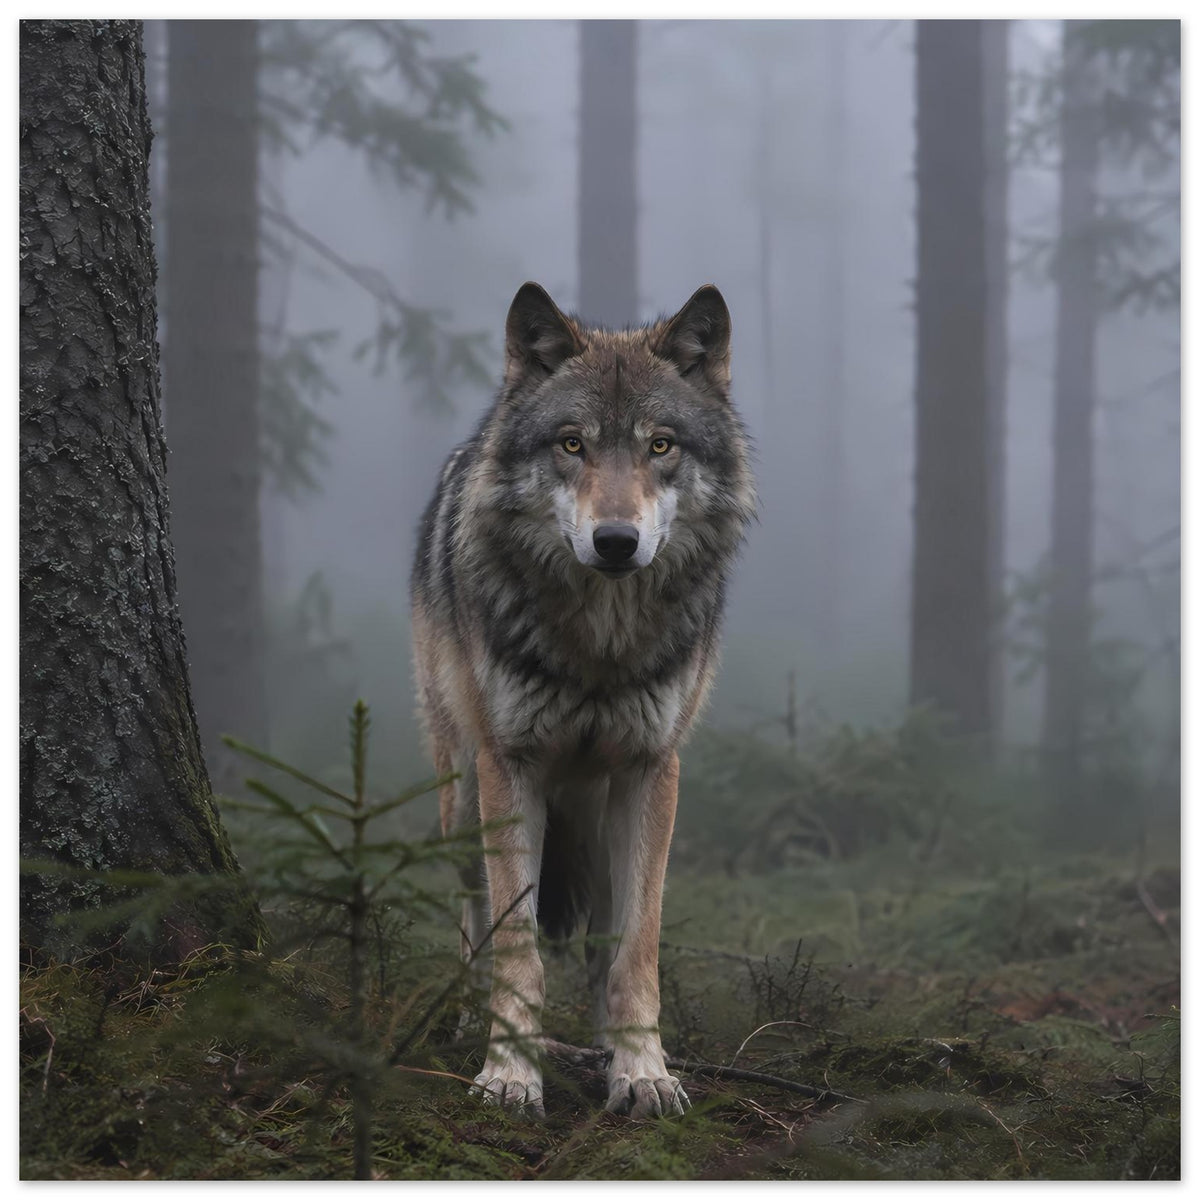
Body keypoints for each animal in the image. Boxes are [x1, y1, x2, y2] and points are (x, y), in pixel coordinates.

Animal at [410, 281, 754, 1119]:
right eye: (572, 445)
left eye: (661, 446)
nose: (616, 542)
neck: (600, 645)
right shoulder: (512, 766)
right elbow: (517, 948)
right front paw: (508, 1074)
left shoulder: (651, 770)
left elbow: (636, 950)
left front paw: (643, 1070)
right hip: (462, 798)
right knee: (472, 918)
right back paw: (464, 1021)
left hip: (597, 817)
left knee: (602, 936)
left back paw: (605, 1046)